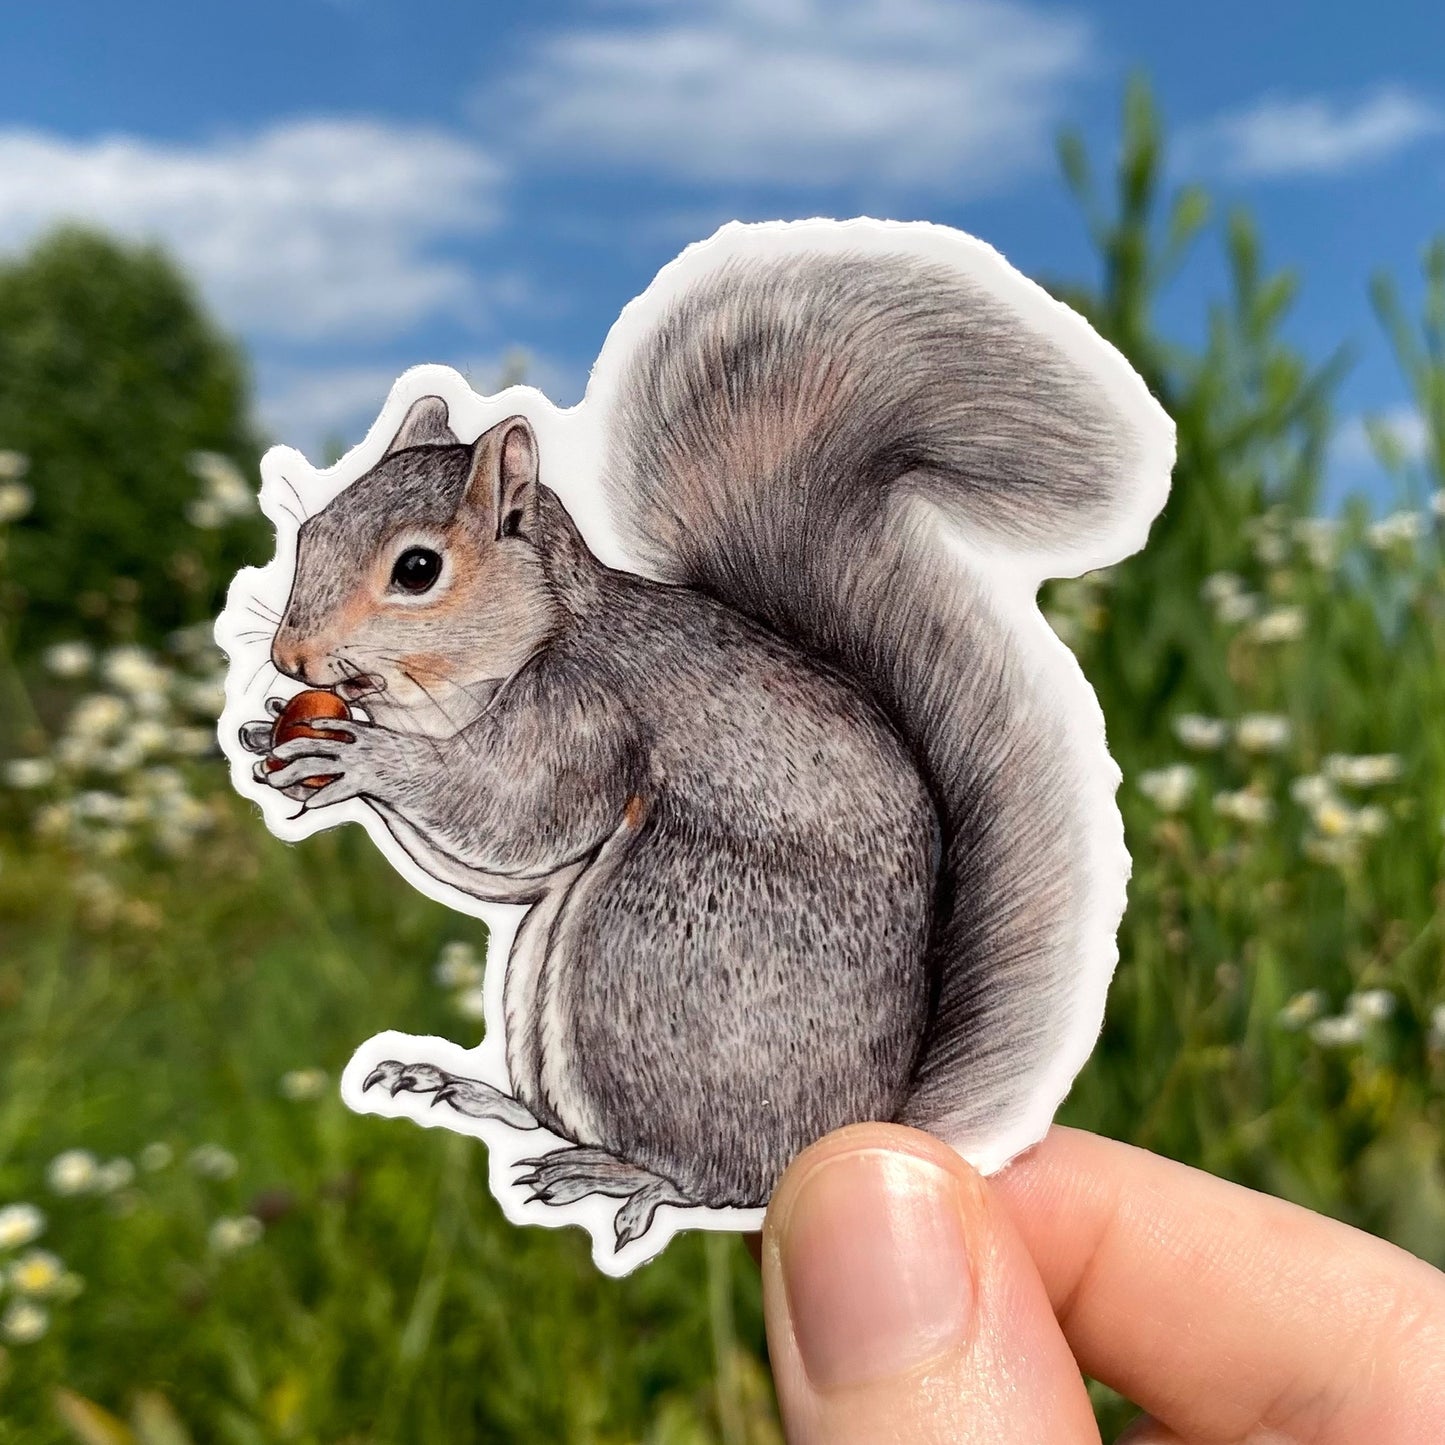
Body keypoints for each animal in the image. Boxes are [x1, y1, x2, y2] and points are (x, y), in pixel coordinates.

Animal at [237, 222, 1172, 1250]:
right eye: (309, 532)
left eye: (416, 569)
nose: (289, 654)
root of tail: (852, 1123)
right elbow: (497, 870)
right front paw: (274, 738)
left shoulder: (587, 715)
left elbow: (514, 814)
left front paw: (361, 757)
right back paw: (467, 1089)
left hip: (649, 948)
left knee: (703, 1175)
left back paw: (622, 1172)